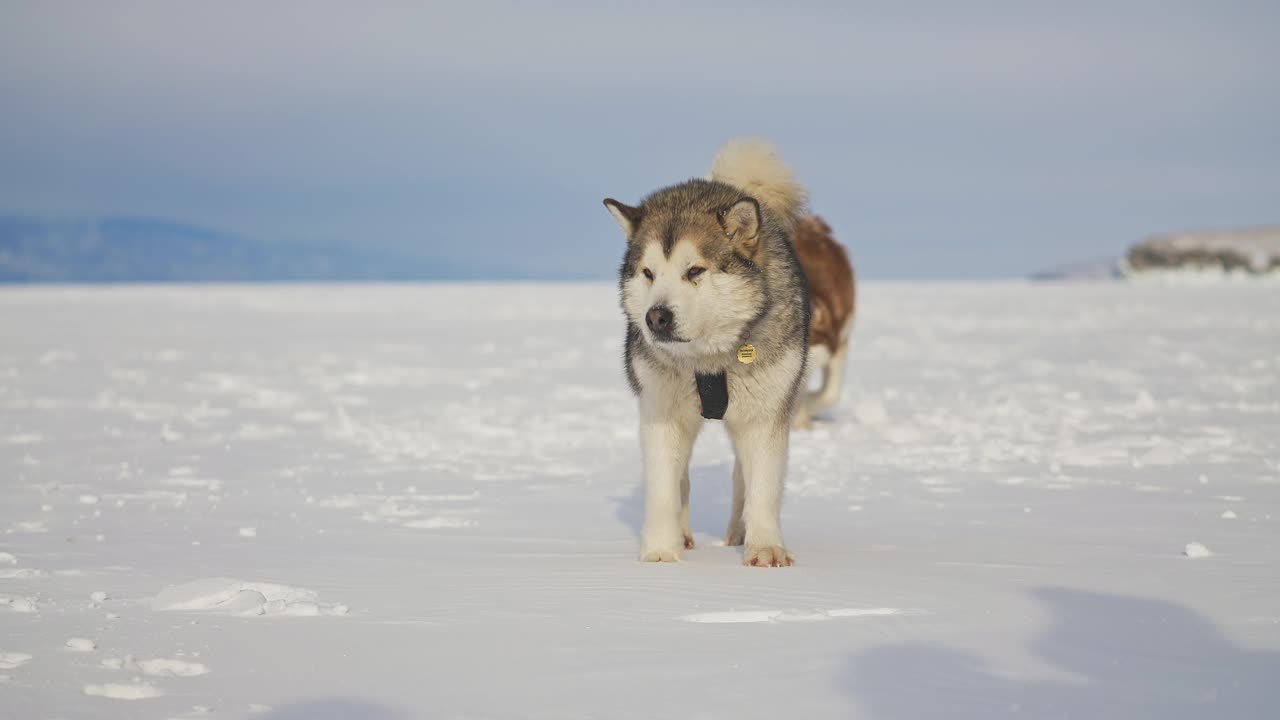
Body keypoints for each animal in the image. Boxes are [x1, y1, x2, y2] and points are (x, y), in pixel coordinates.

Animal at [601, 139, 808, 566]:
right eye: (648, 273)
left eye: (694, 271)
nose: (655, 317)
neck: (708, 361)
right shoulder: (660, 411)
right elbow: (664, 487)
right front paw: (661, 551)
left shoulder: (766, 414)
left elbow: (762, 488)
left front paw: (766, 548)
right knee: (681, 477)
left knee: (741, 477)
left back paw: (738, 533)